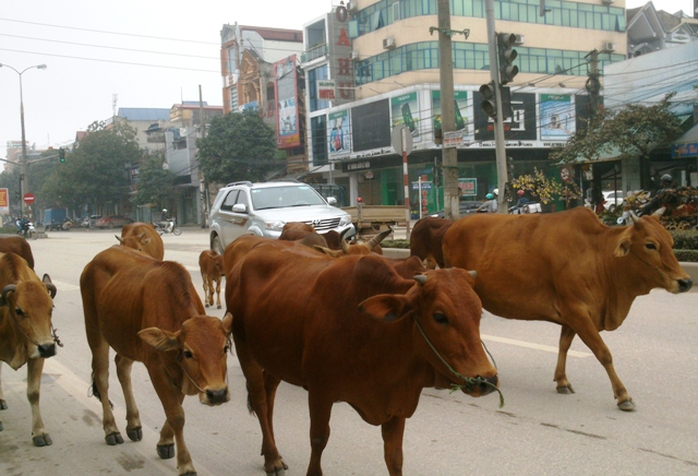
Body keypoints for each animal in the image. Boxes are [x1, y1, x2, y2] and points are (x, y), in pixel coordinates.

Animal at [0, 253, 57, 446]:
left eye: (51, 308)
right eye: (19, 310)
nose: (48, 348)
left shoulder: (37, 356)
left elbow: (33, 393)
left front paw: (39, 432)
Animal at [81, 245, 234, 476]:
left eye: (224, 347)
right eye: (188, 353)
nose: (217, 394)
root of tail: (93, 262)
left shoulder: (180, 373)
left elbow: (176, 406)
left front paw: (164, 441)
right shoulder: (156, 369)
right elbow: (176, 414)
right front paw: (186, 464)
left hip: (128, 342)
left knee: (122, 368)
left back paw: (133, 424)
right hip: (95, 331)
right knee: (102, 378)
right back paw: (111, 429)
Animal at [226, 242, 498, 476]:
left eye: (478, 313)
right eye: (440, 316)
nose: (487, 380)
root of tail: (245, 258)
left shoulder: (397, 401)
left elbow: (394, 458)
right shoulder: (320, 391)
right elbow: (318, 439)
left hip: (276, 358)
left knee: (269, 395)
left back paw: (270, 451)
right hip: (244, 347)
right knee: (259, 398)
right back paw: (272, 459)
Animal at [440, 206, 692, 410]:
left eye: (671, 243)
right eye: (650, 245)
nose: (686, 282)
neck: (598, 255)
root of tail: (452, 227)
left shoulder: (572, 314)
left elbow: (564, 345)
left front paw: (561, 381)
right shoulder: (576, 311)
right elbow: (603, 353)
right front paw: (623, 396)